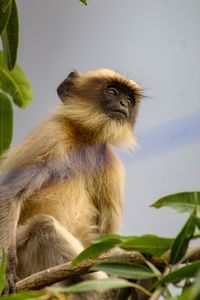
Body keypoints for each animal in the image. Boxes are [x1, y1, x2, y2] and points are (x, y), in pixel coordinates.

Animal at [0, 68, 142, 298]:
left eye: (129, 100)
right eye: (112, 92)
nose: (123, 104)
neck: (84, 141)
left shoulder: (111, 167)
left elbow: (106, 241)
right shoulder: (51, 135)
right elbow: (9, 193)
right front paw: (6, 273)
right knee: (43, 226)